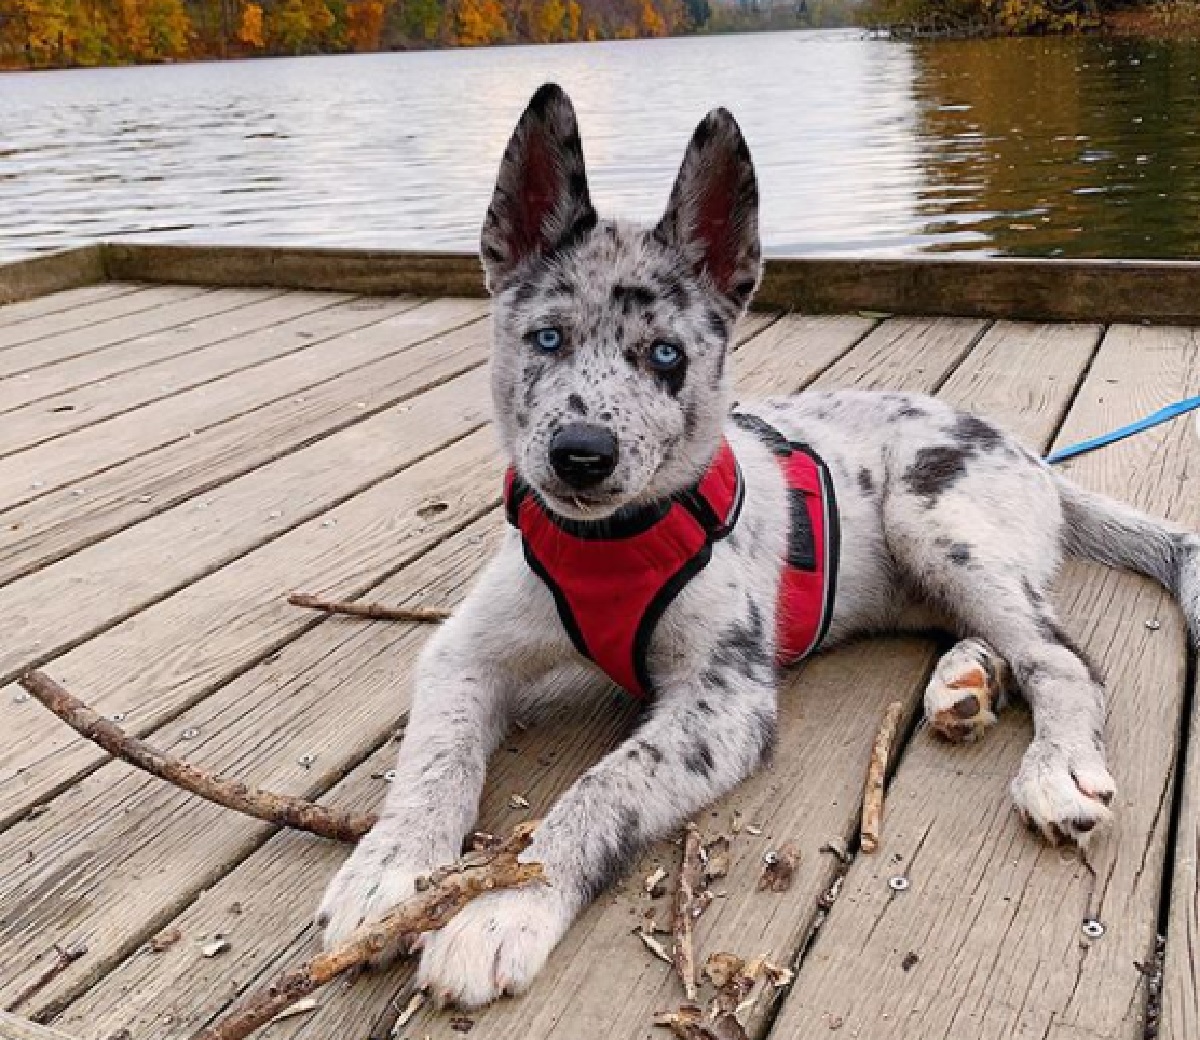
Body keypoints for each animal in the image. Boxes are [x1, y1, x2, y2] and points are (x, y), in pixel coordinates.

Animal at [316, 85, 1200, 1012]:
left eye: (666, 356)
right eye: (547, 338)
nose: (581, 454)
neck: (610, 544)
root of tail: (1033, 457)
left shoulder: (723, 704)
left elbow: (603, 785)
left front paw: (505, 907)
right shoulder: (465, 652)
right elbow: (432, 759)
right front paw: (389, 874)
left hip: (932, 522)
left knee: (1061, 658)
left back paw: (1055, 766)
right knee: (1004, 638)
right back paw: (964, 682)